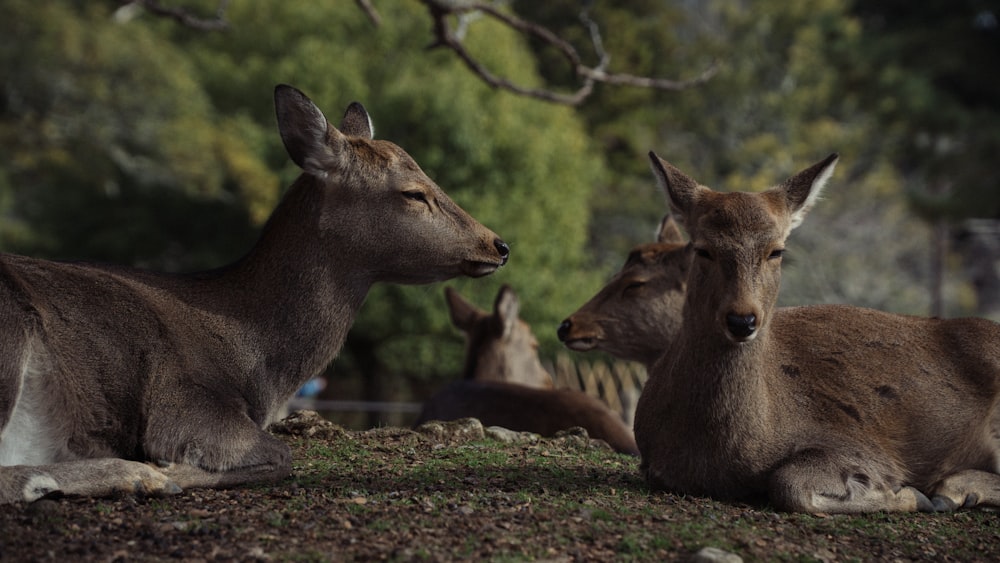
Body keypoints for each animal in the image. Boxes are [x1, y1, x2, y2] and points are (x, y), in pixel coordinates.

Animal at [0, 85, 512, 506]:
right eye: (413, 193)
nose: (498, 245)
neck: (260, 367)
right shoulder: (181, 402)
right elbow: (279, 454)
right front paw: (164, 469)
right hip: (11, 339)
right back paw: (125, 477)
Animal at [632, 152, 1000, 512]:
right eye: (703, 249)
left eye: (777, 250)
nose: (742, 320)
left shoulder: (862, 447)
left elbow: (788, 483)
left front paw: (907, 494)